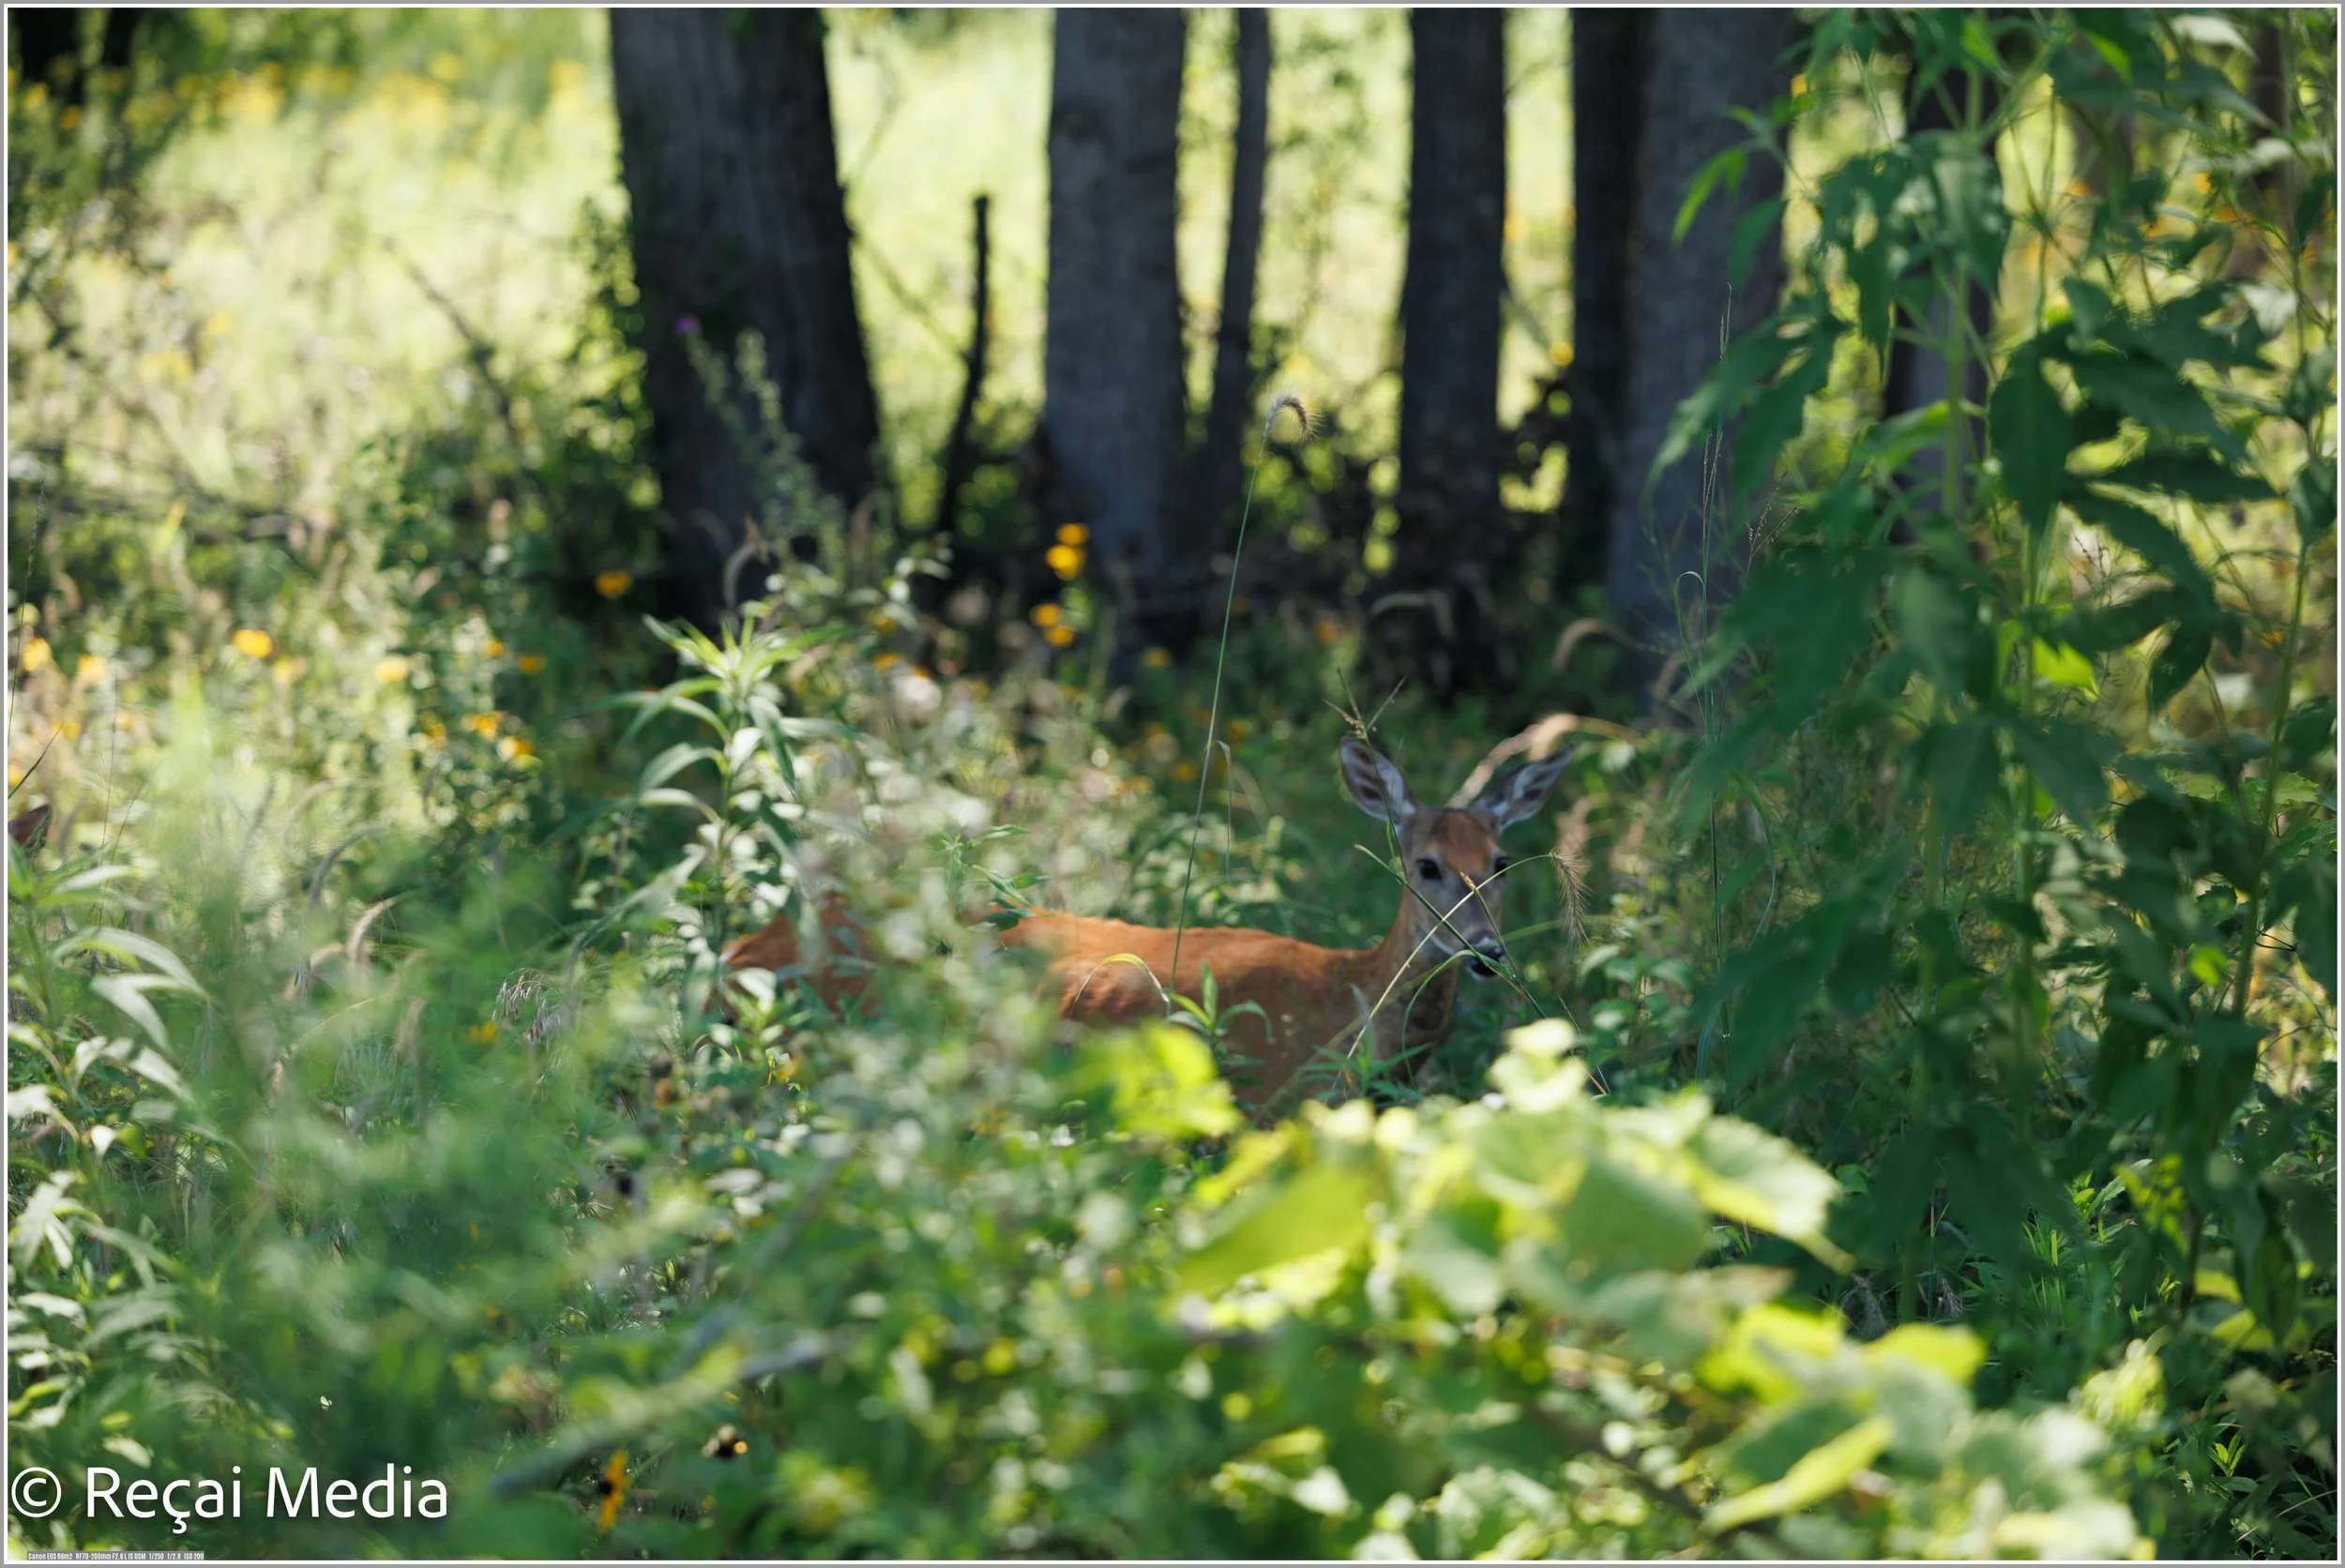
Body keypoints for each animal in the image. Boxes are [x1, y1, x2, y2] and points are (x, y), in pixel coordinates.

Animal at [721, 738, 1570, 1121]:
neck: (1352, 999)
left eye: (1500, 862)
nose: (1487, 952)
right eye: (1427, 864)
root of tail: (740, 948)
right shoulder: (1267, 1106)